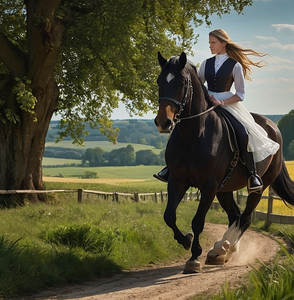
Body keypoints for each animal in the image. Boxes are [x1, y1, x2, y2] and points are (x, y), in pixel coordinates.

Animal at [154, 51, 294, 274]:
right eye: (159, 81)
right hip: (225, 189)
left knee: (245, 217)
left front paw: (194, 257)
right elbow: (169, 216)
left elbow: (198, 221)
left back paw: (223, 247)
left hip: (257, 187)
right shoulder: (177, 181)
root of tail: (273, 126)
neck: (193, 135)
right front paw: (186, 240)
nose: (163, 122)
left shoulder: (209, 186)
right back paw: (220, 251)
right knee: (235, 215)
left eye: (182, 83)